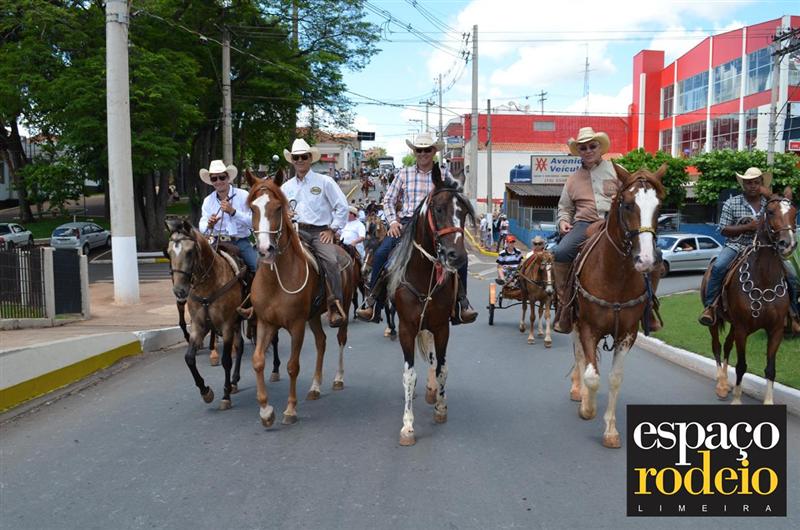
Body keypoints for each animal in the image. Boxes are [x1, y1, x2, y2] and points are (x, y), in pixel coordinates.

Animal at [165, 219, 248, 410]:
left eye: (189, 252)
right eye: (169, 252)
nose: (179, 291)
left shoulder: (226, 326)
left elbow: (226, 360)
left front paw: (225, 395)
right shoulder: (198, 326)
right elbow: (189, 358)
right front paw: (205, 391)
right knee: (240, 346)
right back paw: (234, 381)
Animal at [246, 169, 357, 427]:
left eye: (278, 207)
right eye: (253, 208)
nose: (265, 249)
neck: (276, 279)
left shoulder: (296, 325)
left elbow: (292, 366)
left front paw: (290, 410)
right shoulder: (266, 323)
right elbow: (258, 361)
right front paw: (266, 411)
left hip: (344, 307)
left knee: (340, 338)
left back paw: (338, 378)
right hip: (313, 316)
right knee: (321, 341)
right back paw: (315, 387)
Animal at [387, 164, 475, 446]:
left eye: (464, 212)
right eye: (438, 209)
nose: (456, 257)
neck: (424, 274)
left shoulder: (441, 327)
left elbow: (442, 368)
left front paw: (440, 406)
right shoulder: (406, 328)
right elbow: (409, 375)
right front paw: (407, 426)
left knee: (434, 360)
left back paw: (431, 391)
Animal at [567, 163, 665, 448]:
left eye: (659, 207)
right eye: (628, 205)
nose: (646, 259)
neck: (615, 275)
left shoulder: (627, 334)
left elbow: (614, 379)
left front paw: (610, 431)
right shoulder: (588, 327)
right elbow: (592, 376)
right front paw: (587, 408)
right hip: (573, 322)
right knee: (580, 356)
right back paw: (578, 391)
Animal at [700, 187, 797, 405]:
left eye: (795, 213)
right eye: (770, 212)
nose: (787, 244)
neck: (764, 280)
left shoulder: (776, 330)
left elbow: (770, 369)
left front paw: (768, 401)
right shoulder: (743, 329)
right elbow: (741, 366)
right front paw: (736, 399)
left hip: (733, 325)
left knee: (727, 346)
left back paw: (725, 384)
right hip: (716, 321)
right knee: (717, 346)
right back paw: (721, 384)